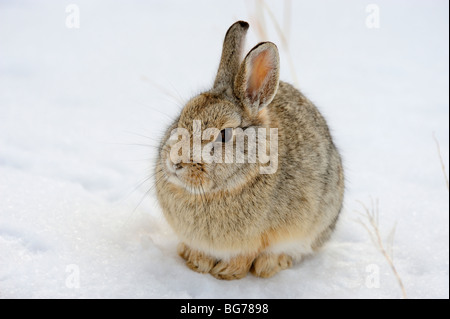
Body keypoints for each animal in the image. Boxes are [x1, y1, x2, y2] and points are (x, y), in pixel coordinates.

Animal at [155, 20, 344, 280]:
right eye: (181, 117)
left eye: (224, 135)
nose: (175, 162)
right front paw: (196, 263)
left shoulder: (256, 241)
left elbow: (244, 256)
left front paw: (226, 272)